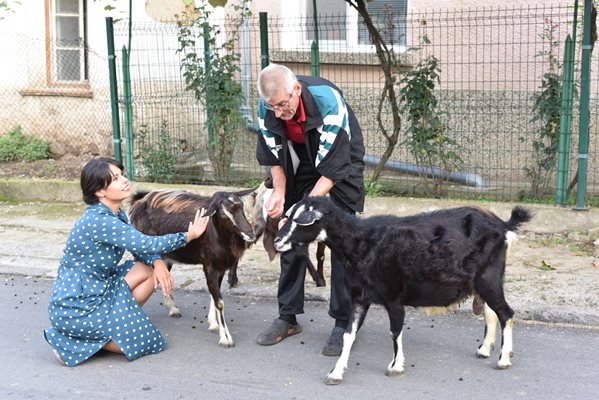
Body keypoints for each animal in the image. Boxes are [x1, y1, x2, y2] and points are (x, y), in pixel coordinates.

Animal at [129, 188, 255, 346]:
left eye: (241, 207)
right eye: (224, 215)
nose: (250, 233)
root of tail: (139, 201)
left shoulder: (219, 267)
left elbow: (214, 294)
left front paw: (213, 323)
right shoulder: (209, 265)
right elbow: (219, 302)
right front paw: (225, 338)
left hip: (165, 256)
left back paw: (173, 309)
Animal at [274, 197, 532, 384]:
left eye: (304, 220)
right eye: (288, 216)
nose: (277, 241)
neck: (363, 245)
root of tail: (503, 226)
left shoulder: (394, 297)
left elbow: (395, 331)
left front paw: (396, 366)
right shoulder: (359, 298)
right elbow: (348, 335)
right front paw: (336, 373)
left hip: (489, 278)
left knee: (505, 313)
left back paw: (503, 360)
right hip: (482, 282)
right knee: (491, 312)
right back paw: (485, 349)